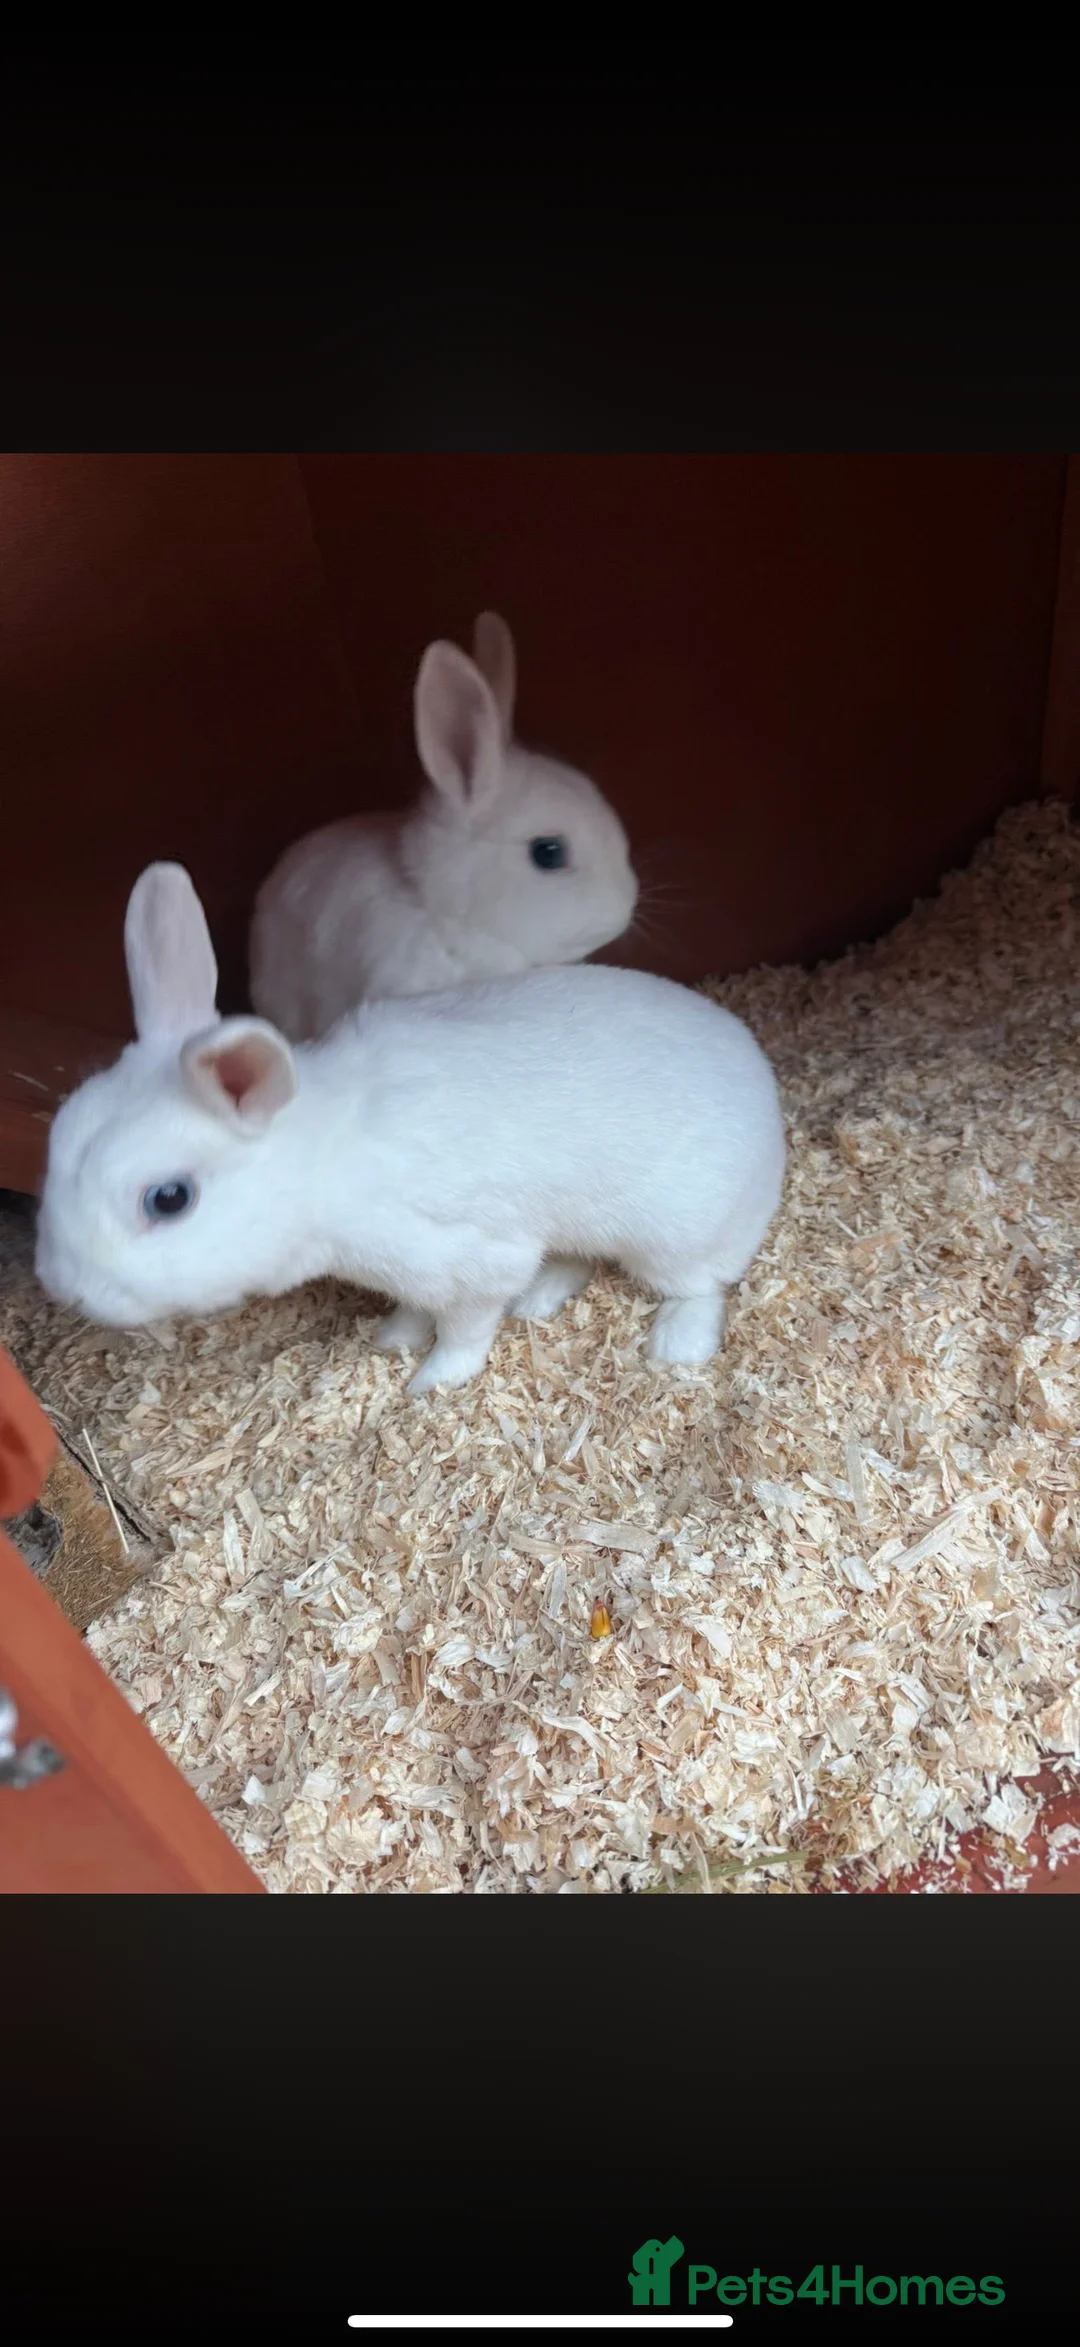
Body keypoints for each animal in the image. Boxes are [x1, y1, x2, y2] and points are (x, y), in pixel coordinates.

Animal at [36, 863, 786, 1398]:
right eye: (59, 1137)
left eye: (169, 1199)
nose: (63, 1288)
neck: (323, 1162)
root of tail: (767, 1099)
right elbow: (417, 1310)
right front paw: (392, 1337)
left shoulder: (473, 1257)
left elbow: (464, 1330)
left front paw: (428, 1382)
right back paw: (539, 1301)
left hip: (674, 1234)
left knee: (700, 1287)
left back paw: (674, 1345)